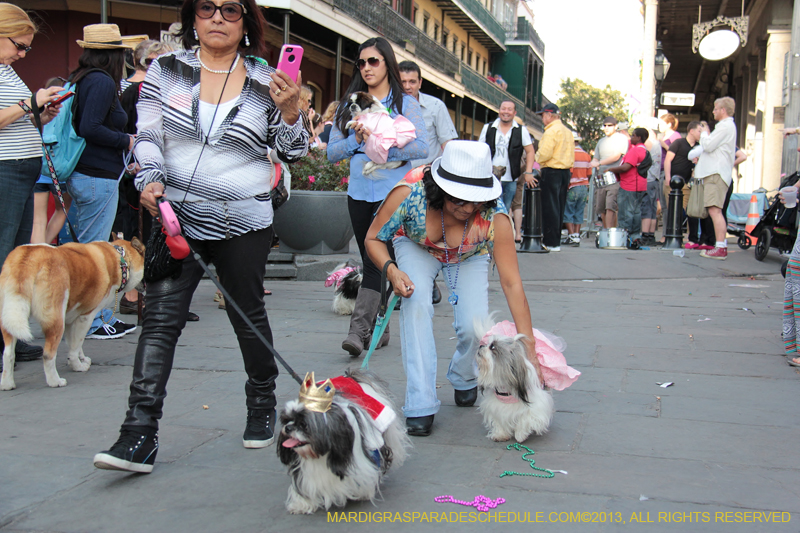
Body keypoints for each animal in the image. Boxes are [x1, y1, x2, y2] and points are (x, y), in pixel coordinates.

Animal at [0, 239, 145, 388]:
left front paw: (80, 359)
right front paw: (78, 366)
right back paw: (55, 381)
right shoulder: (86, 317)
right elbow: (76, 346)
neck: (120, 259)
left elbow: (75, 344)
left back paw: (7, 384)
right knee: (48, 354)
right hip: (56, 320)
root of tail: (28, 257)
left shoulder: (71, 319)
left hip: (11, 315)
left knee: (8, 353)